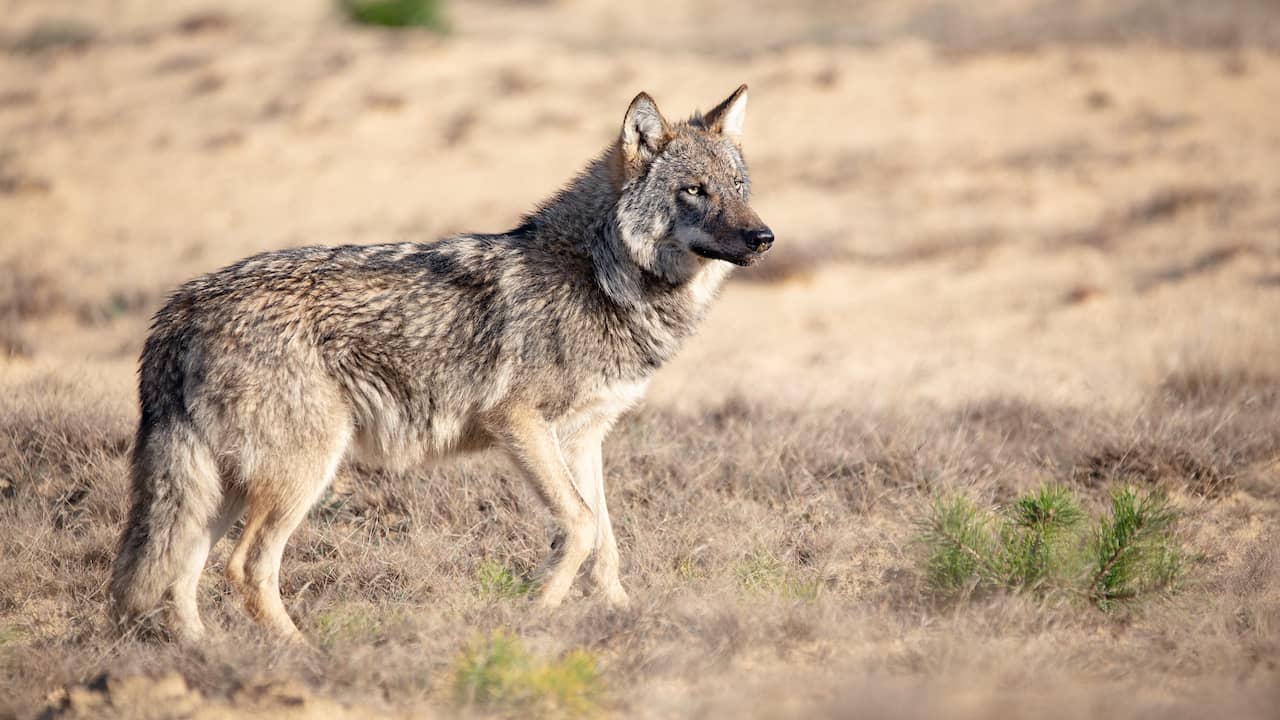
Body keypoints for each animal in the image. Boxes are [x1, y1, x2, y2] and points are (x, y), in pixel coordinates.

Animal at [110, 85, 773, 641]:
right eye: (694, 190)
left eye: (740, 187)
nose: (764, 237)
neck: (600, 275)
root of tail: (181, 308)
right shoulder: (519, 424)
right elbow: (582, 528)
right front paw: (536, 612)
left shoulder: (585, 437)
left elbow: (605, 542)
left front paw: (623, 618)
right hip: (301, 474)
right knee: (244, 568)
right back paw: (300, 656)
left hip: (224, 486)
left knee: (177, 575)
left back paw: (205, 655)